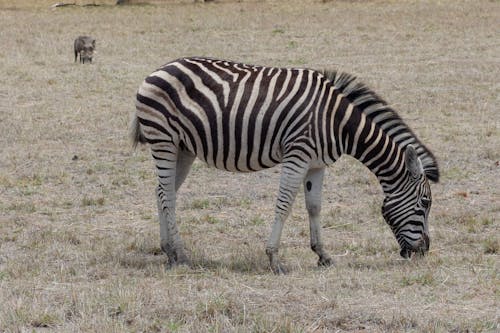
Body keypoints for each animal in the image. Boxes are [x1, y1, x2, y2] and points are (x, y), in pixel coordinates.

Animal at [131, 57, 440, 274]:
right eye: (424, 203)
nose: (424, 251)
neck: (339, 122)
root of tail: (160, 69)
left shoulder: (317, 164)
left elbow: (314, 206)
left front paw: (322, 255)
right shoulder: (298, 155)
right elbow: (284, 204)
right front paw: (274, 258)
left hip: (184, 148)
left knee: (162, 192)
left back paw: (168, 251)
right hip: (164, 140)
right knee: (168, 195)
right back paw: (181, 254)